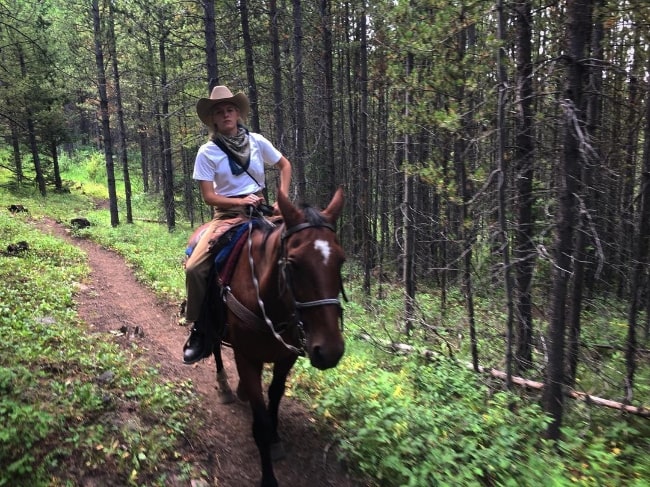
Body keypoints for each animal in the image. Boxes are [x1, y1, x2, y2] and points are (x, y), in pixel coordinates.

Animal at [204, 188, 344, 487]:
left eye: (341, 260)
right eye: (293, 264)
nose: (330, 351)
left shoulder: (286, 357)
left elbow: (275, 398)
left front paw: (277, 439)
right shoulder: (246, 358)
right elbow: (261, 423)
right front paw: (268, 476)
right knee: (216, 347)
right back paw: (225, 386)